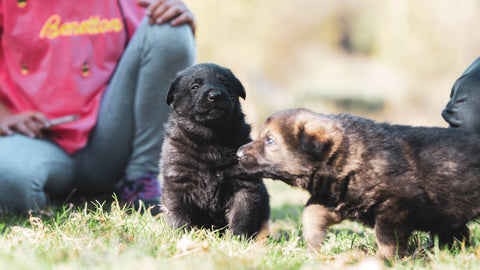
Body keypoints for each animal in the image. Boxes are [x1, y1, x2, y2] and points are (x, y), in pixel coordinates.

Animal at [159, 62, 268, 238]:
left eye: (225, 83)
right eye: (195, 86)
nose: (215, 95)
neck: (210, 139)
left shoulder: (243, 184)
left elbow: (241, 215)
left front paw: (237, 239)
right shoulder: (177, 182)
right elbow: (177, 214)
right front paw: (180, 235)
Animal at [237, 107, 480, 258]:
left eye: (270, 140)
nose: (238, 153)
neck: (347, 156)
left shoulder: (397, 203)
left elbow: (387, 238)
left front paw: (385, 259)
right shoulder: (337, 199)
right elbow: (311, 212)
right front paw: (314, 243)